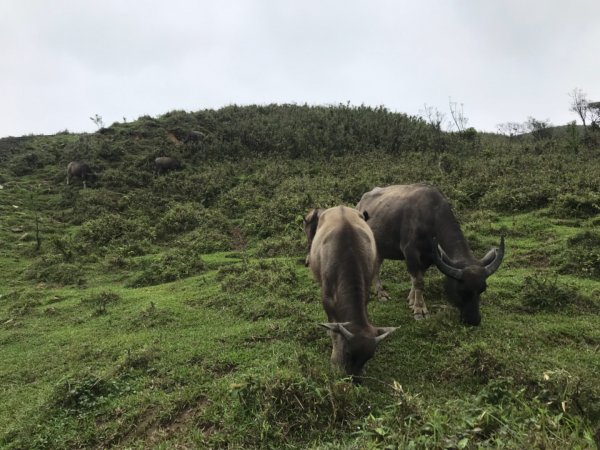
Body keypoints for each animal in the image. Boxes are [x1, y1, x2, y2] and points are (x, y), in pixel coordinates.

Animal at [304, 207, 398, 380]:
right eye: (348, 352)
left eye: (369, 357)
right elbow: (334, 331)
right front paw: (335, 360)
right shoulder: (326, 299)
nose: (354, 379)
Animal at [358, 185, 504, 326]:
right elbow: (418, 281)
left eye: (482, 289)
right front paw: (420, 310)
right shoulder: (410, 252)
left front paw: (412, 300)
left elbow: (418, 278)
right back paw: (380, 294)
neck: (430, 216)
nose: (473, 320)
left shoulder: (429, 257)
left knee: (376, 265)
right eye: (461, 290)